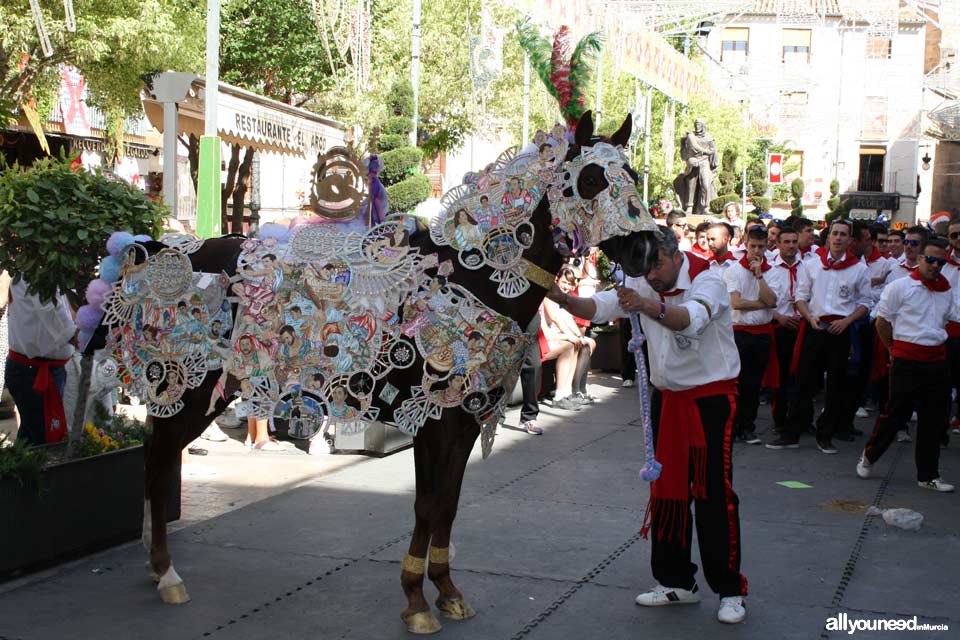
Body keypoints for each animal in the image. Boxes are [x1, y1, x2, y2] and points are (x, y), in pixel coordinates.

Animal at [80, 26, 660, 636]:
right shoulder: (434, 422)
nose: (649, 250)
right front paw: (416, 600)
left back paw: (156, 565)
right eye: (591, 179)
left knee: (158, 455)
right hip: (189, 389)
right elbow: (428, 505)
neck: (474, 278)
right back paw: (167, 574)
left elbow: (448, 505)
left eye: (633, 175)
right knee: (157, 457)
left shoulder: (462, 421)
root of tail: (149, 251)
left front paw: (446, 590)